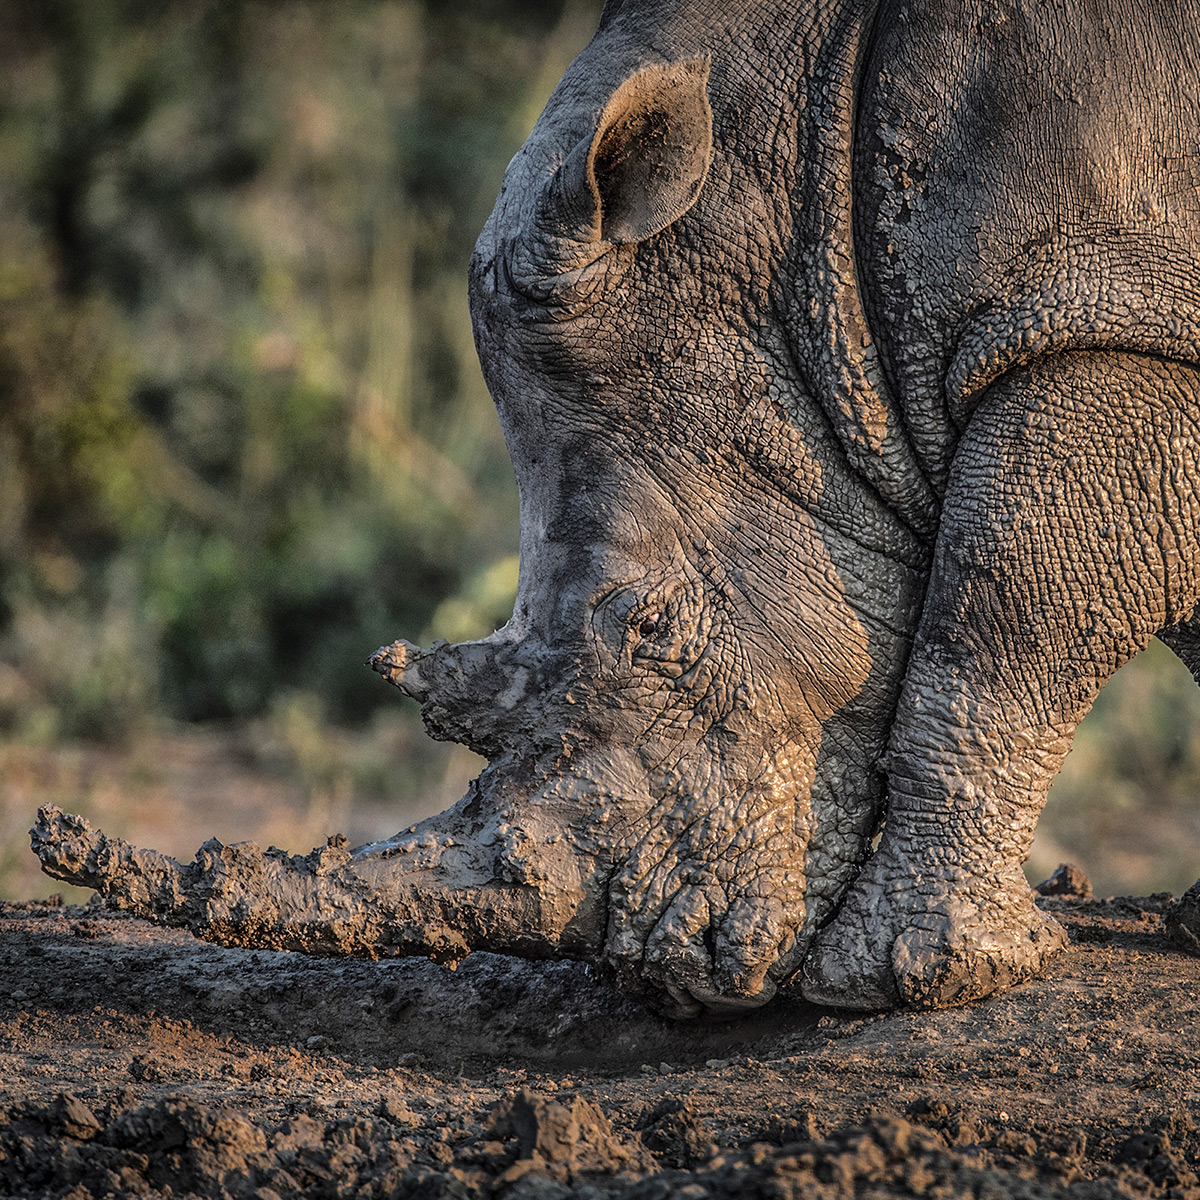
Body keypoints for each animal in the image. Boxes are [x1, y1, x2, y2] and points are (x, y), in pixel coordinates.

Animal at [28, 0, 1200, 1012]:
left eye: (653, 628)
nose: (663, 967)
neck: (799, 221)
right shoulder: (1130, 313)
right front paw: (1189, 929)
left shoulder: (1099, 320)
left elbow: (1002, 620)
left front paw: (899, 983)